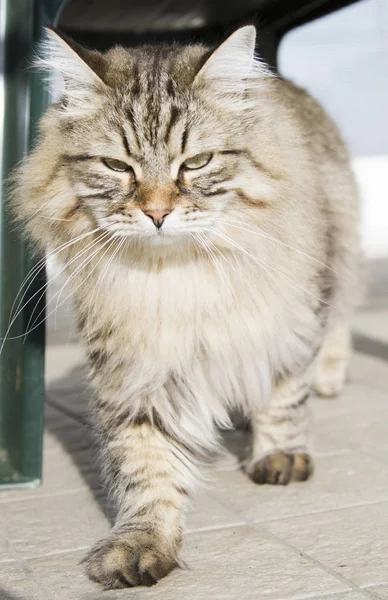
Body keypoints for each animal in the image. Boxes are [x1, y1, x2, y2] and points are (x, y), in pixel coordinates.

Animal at [10, 25, 360, 588]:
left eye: (195, 163)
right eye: (117, 166)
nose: (157, 213)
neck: (180, 279)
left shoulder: (288, 316)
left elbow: (284, 393)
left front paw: (280, 455)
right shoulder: (134, 365)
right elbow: (145, 463)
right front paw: (141, 543)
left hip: (337, 252)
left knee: (340, 320)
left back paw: (328, 377)